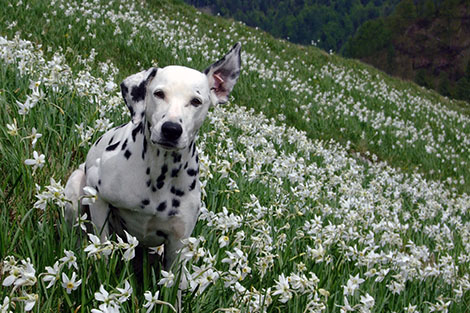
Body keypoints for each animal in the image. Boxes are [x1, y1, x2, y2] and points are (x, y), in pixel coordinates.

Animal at [65, 42, 242, 270]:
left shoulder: (178, 242)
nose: (171, 129)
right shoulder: (97, 195)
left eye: (196, 101)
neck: (160, 174)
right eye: (159, 93)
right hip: (74, 195)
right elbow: (102, 248)